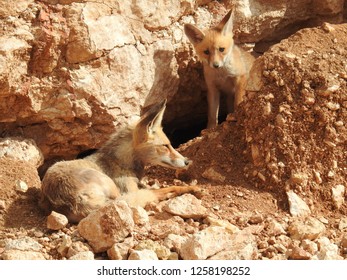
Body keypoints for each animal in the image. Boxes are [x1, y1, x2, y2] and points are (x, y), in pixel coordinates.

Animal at [40, 99, 201, 222]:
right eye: (165, 146)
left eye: (170, 144)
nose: (187, 161)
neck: (121, 162)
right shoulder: (128, 190)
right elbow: (169, 188)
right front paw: (190, 188)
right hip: (111, 187)